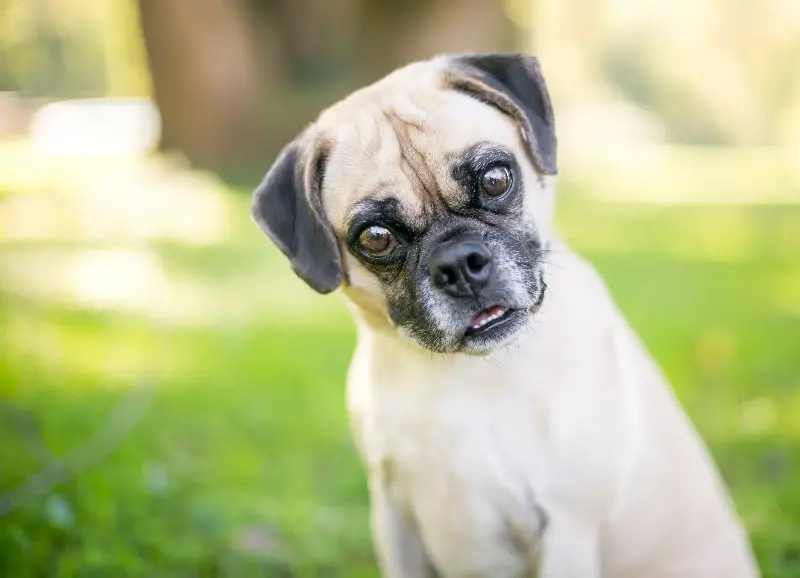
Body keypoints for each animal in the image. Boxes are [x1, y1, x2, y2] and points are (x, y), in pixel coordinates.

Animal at [253, 51, 760, 572]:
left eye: (496, 180)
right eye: (376, 237)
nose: (459, 263)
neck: (467, 375)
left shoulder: (568, 530)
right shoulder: (394, 522)